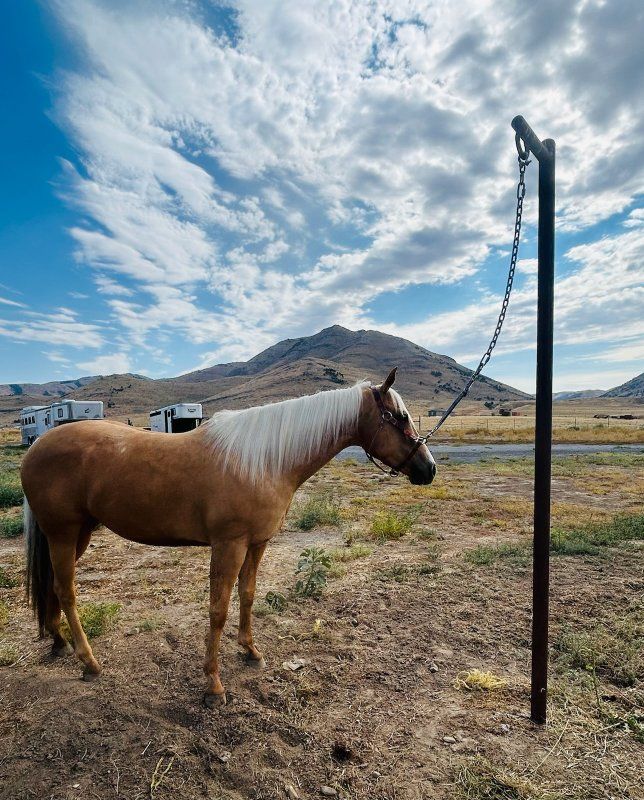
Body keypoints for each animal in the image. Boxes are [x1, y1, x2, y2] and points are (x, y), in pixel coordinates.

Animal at [22, 368, 436, 706]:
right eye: (400, 417)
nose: (428, 469)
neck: (264, 460)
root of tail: (36, 447)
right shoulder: (229, 545)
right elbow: (218, 610)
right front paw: (213, 685)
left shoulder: (256, 543)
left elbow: (247, 595)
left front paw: (251, 651)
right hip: (63, 533)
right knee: (66, 592)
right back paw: (89, 662)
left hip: (78, 534)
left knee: (53, 587)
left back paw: (59, 642)